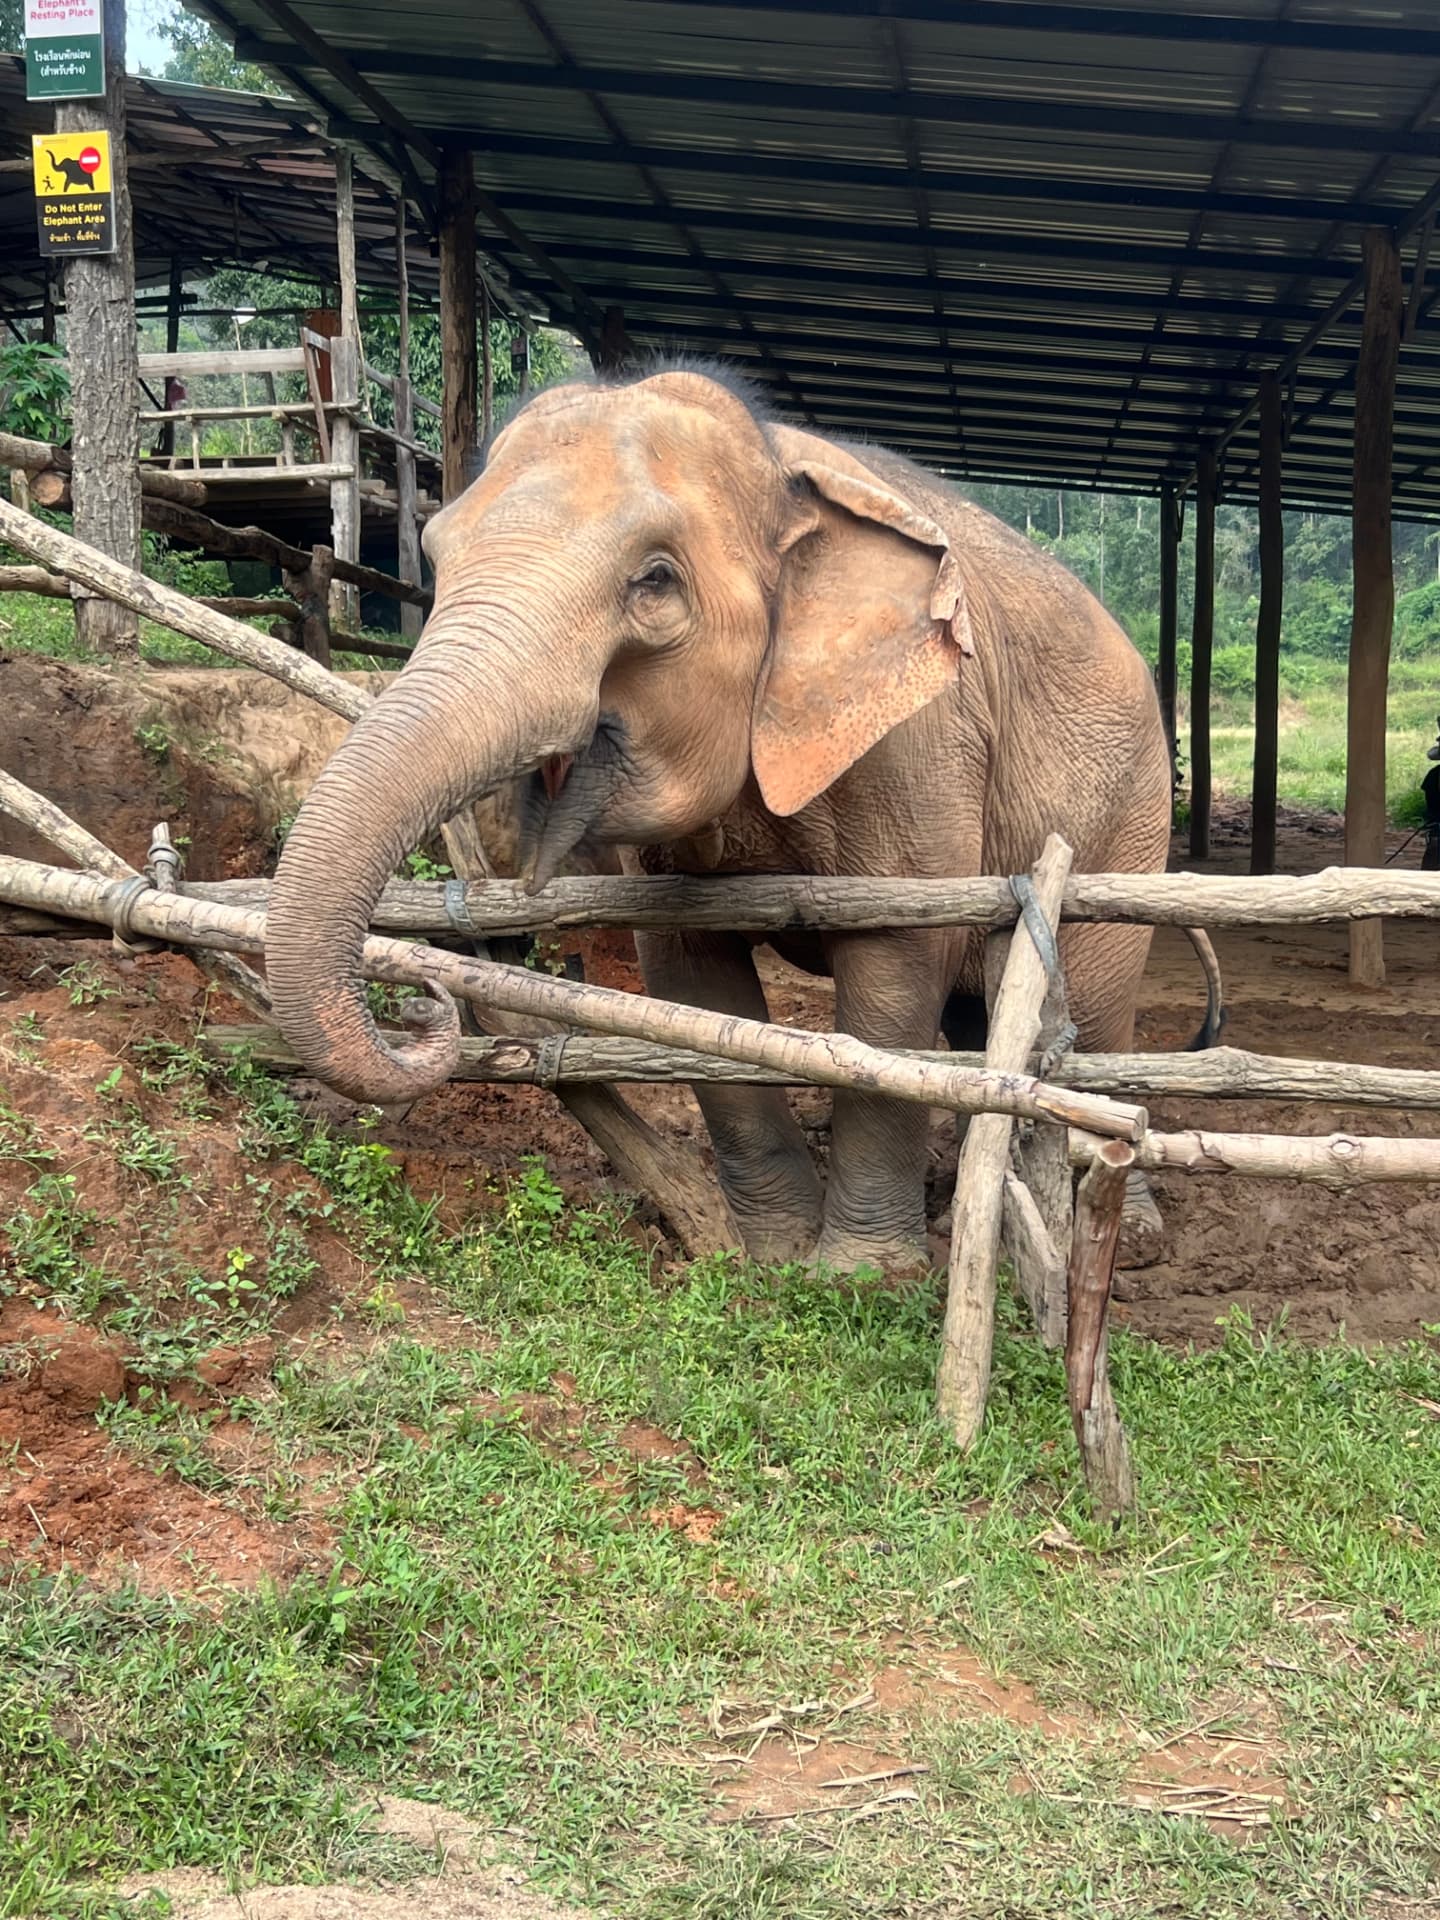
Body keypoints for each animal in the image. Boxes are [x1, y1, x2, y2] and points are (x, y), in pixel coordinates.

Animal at [265, 365, 1219, 1278]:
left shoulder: (921, 740)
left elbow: (895, 970)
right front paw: (769, 1254)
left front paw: (857, 1278)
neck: (775, 466)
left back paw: (1126, 1236)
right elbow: (691, 973)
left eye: (654, 580)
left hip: (1127, 811)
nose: (422, 1006)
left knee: (1093, 1003)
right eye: (432, 554)